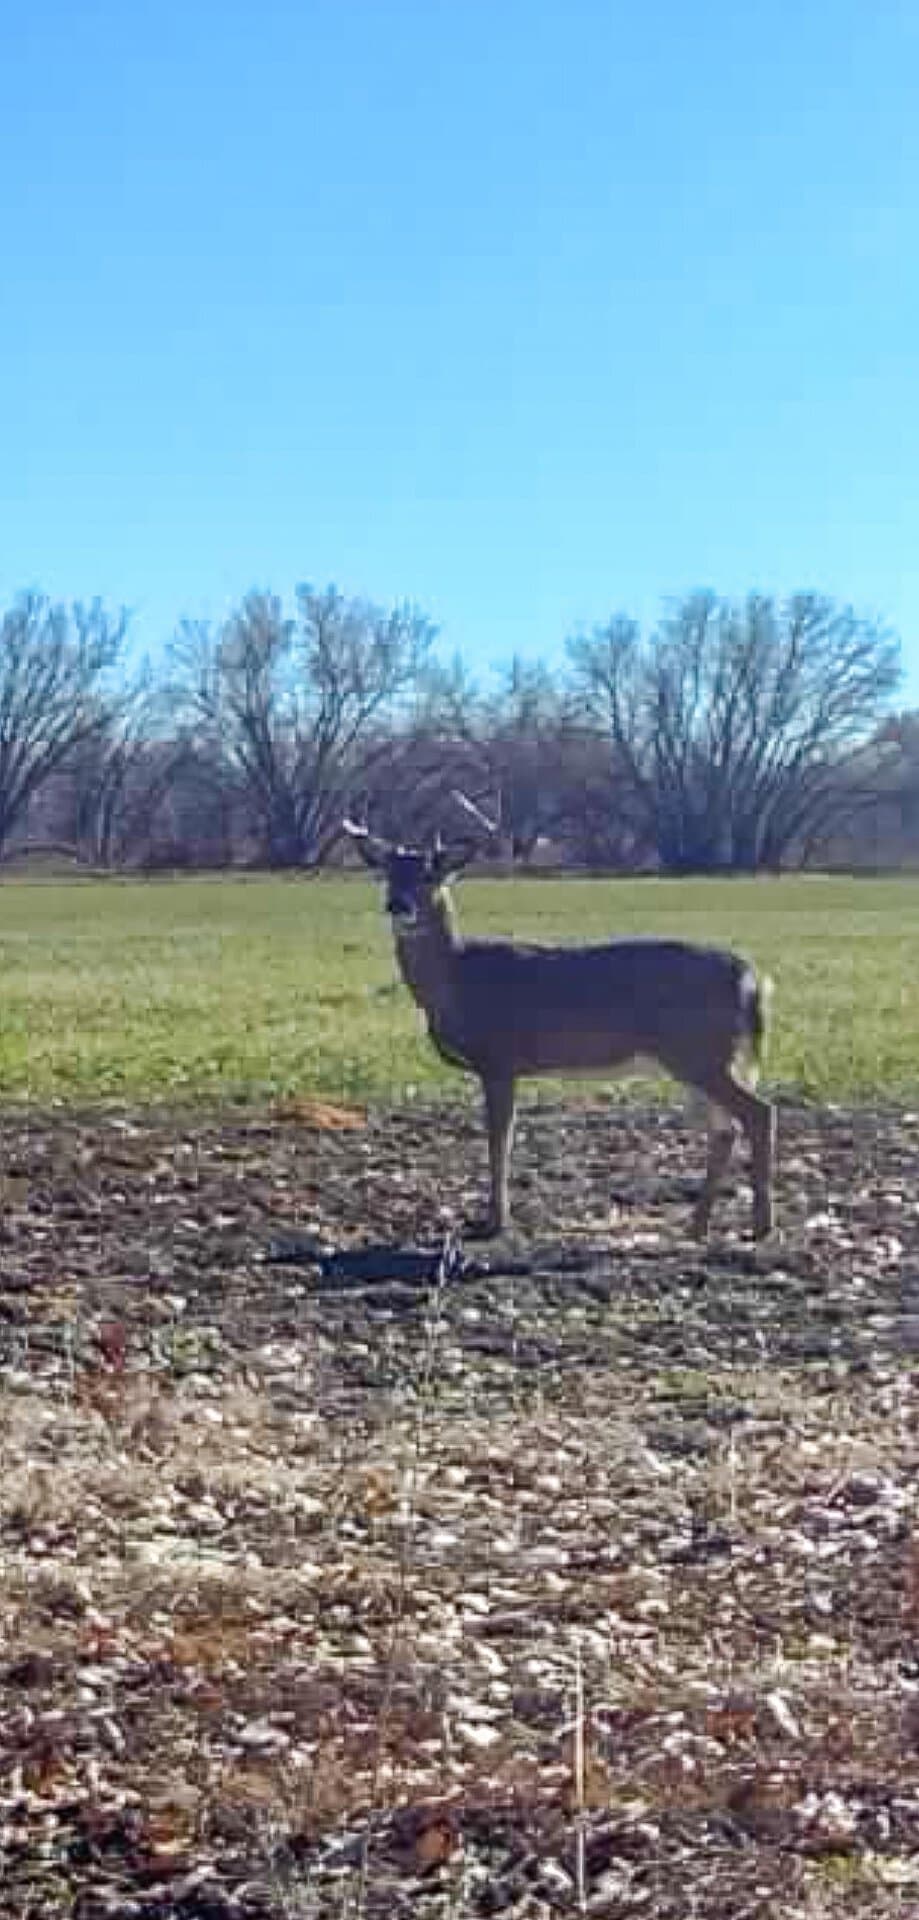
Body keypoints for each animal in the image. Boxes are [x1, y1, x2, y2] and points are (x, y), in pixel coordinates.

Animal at [342, 813, 776, 1241]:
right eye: (387, 873)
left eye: (431, 875)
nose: (398, 905)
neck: (457, 980)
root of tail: (748, 977)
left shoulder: (500, 1060)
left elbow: (500, 1140)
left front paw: (495, 1223)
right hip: (696, 1058)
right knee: (725, 1129)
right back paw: (697, 1227)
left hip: (700, 1052)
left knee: (759, 1113)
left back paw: (759, 1227)